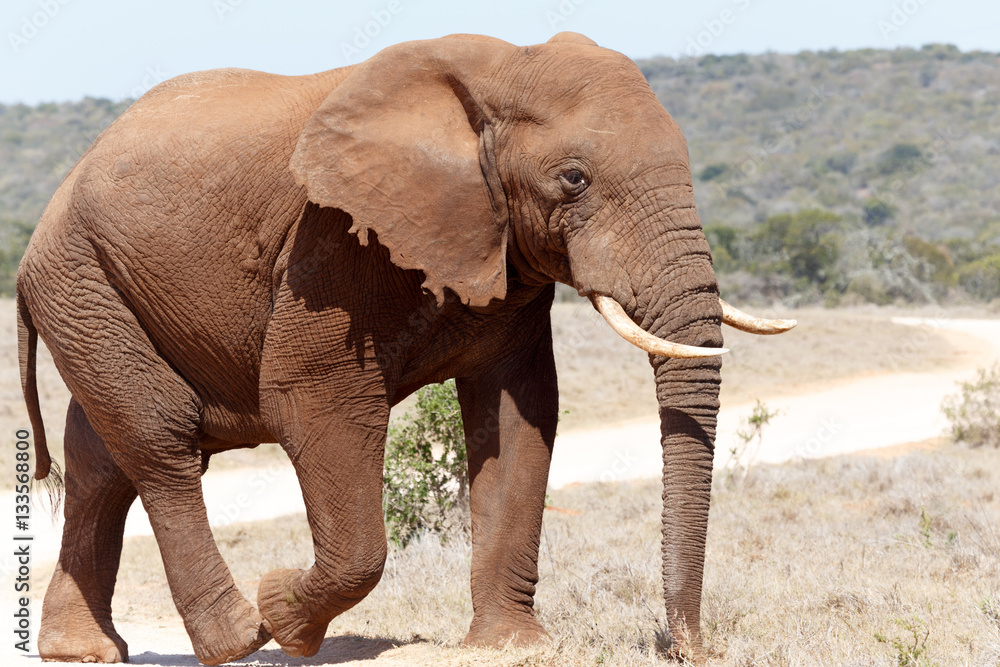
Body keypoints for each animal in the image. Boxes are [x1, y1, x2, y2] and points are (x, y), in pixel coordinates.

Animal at [19, 30, 792, 664]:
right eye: (574, 179)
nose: (687, 649)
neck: (502, 69)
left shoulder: (498, 249)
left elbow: (518, 413)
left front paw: (514, 647)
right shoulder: (331, 241)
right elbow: (313, 401)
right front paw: (284, 617)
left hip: (94, 295)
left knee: (101, 466)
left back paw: (82, 650)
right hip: (82, 281)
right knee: (160, 442)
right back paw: (237, 636)